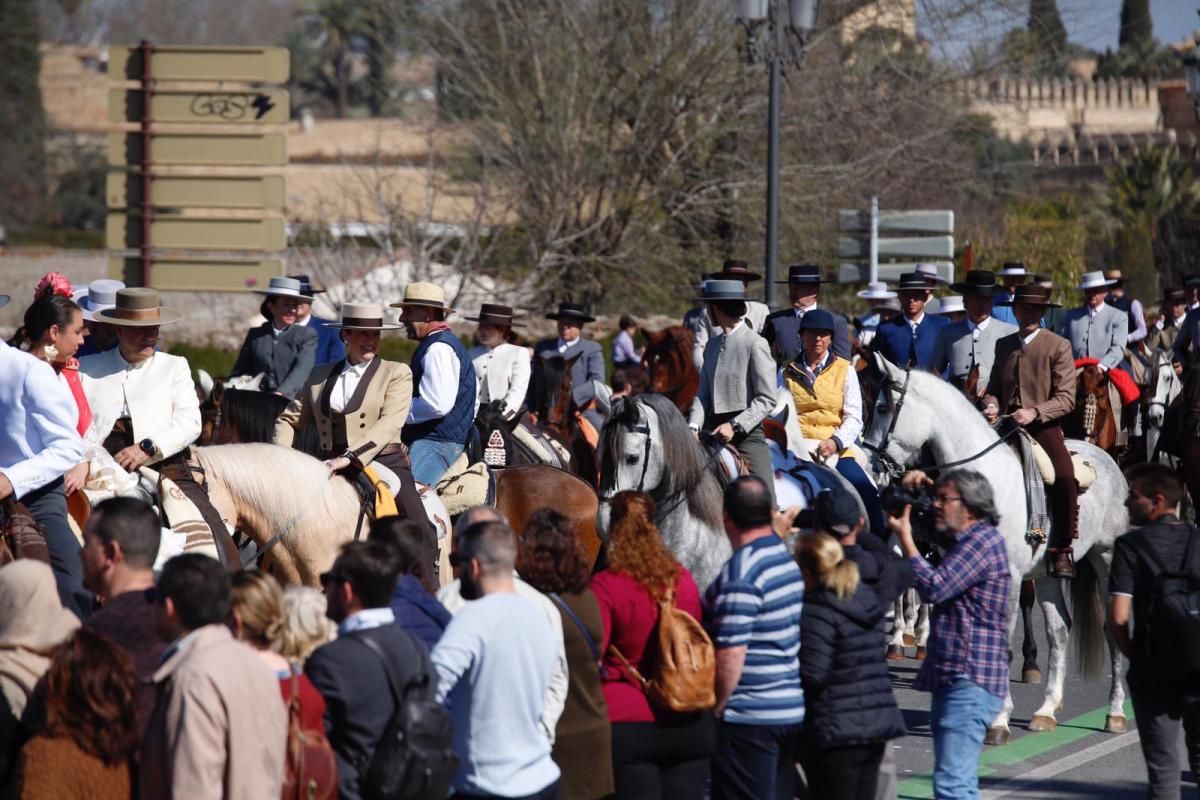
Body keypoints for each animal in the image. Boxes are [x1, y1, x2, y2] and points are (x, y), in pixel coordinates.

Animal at [864, 357, 1123, 743]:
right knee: (1059, 629)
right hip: (1049, 572)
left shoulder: (1010, 577)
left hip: (1106, 559)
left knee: (1112, 631)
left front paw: (998, 719)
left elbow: (1000, 642)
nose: (869, 466)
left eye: (882, 407)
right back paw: (1046, 710)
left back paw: (1115, 713)